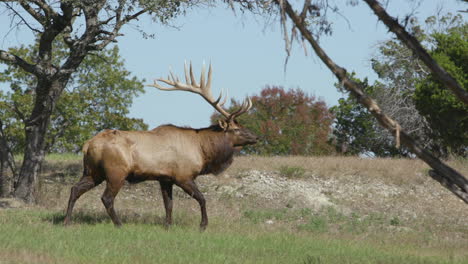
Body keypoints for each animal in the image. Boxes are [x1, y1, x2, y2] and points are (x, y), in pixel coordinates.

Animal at [63, 62, 258, 229]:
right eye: (236, 129)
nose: (255, 137)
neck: (203, 151)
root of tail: (87, 145)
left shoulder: (165, 178)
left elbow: (168, 204)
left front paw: (168, 226)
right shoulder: (183, 175)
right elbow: (202, 199)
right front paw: (203, 225)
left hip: (92, 171)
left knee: (74, 189)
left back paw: (67, 221)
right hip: (116, 171)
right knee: (106, 198)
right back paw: (119, 224)